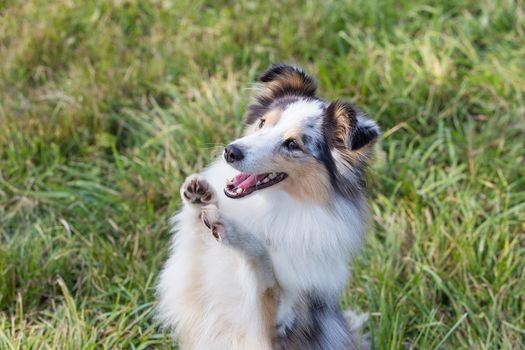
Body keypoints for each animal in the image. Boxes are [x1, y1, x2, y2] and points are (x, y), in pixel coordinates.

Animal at [158, 64, 378, 348]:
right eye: (263, 123)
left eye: (293, 144)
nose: (230, 151)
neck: (270, 206)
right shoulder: (193, 281)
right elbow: (195, 238)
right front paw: (200, 196)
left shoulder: (277, 325)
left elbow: (262, 259)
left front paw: (228, 228)